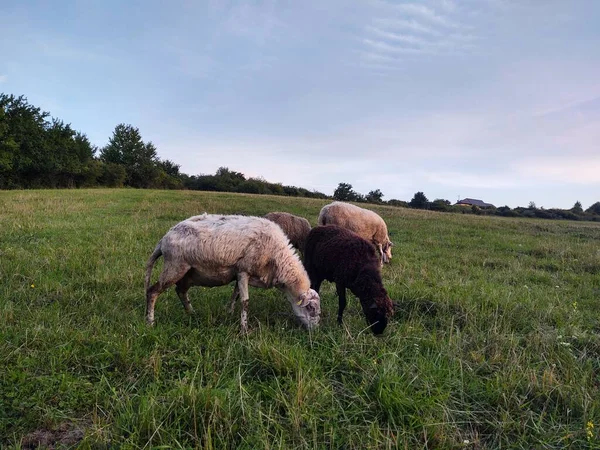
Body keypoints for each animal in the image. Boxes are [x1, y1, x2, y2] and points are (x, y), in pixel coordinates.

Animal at [145, 213, 322, 332]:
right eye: (310, 308)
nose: (315, 331)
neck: (278, 258)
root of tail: (164, 238)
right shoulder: (244, 270)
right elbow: (245, 301)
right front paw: (244, 329)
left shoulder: (240, 274)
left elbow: (235, 295)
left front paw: (229, 312)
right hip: (175, 266)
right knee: (153, 291)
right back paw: (150, 322)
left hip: (189, 273)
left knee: (180, 291)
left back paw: (191, 313)